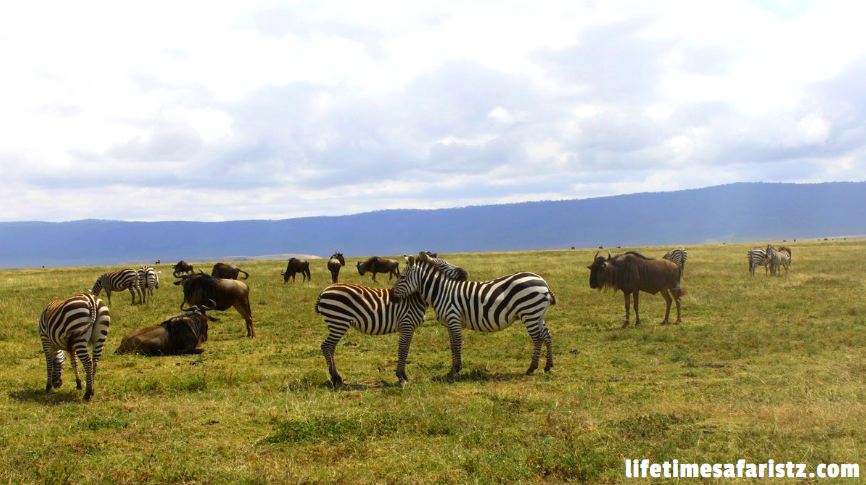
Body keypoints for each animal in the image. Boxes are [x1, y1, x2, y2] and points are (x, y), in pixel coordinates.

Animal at [390, 253, 552, 378]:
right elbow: (452, 346)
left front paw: (455, 371)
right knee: (546, 336)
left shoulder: (454, 319)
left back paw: (532, 368)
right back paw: (548, 366)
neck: (442, 292)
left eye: (402, 277)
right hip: (537, 314)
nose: (392, 297)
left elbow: (456, 344)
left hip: (529, 313)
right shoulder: (449, 324)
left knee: (538, 339)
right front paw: (452, 370)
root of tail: (543, 281)